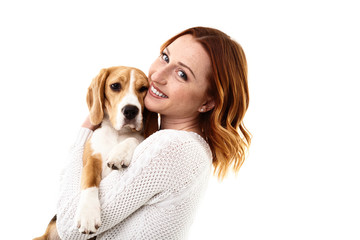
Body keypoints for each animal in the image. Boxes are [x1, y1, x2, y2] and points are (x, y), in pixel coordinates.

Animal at [34, 65, 158, 240]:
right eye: (115, 86)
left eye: (143, 88)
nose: (131, 111)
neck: (116, 133)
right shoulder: (91, 160)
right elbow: (89, 182)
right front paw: (88, 215)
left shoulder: (139, 139)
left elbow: (134, 139)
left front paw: (119, 154)